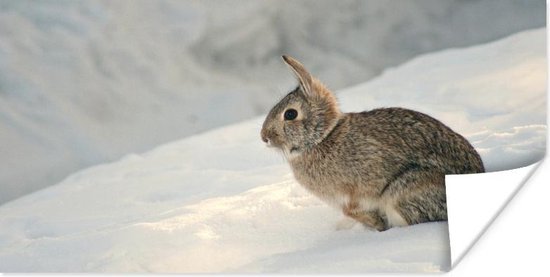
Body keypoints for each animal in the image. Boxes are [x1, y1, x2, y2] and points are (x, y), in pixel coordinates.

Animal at [260, 55, 486, 230]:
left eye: (290, 114)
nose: (264, 137)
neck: (323, 136)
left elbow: (353, 208)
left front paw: (376, 225)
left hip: (401, 193)